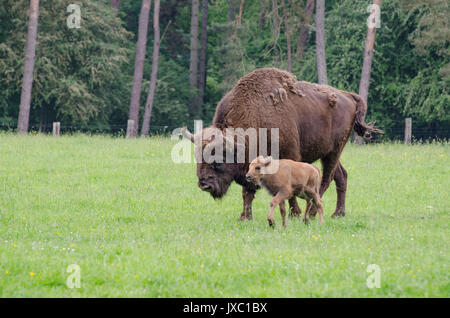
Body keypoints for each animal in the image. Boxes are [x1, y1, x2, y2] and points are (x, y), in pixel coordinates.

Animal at [181, 68, 382, 220]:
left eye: (219, 158)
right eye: (197, 157)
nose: (204, 184)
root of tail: (348, 96)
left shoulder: (290, 156)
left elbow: (290, 186)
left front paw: (294, 214)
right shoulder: (250, 166)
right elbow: (247, 191)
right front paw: (244, 217)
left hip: (334, 150)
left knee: (326, 179)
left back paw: (312, 213)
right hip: (328, 151)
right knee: (341, 176)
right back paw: (338, 213)